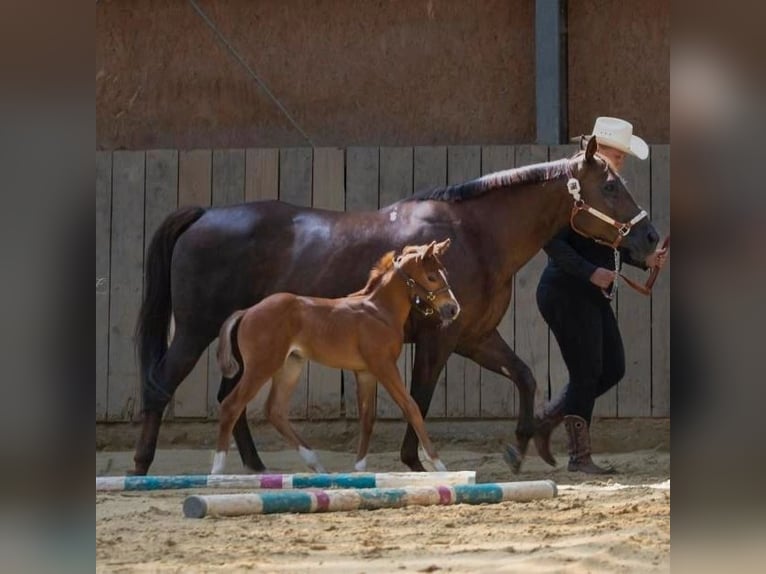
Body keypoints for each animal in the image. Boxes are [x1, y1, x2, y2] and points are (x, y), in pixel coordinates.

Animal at [213, 241, 460, 474]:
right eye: (431, 277)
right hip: (262, 365)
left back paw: (317, 466)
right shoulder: (384, 365)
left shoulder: (365, 372)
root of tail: (246, 311)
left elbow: (367, 418)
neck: (379, 311)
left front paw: (359, 469)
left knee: (275, 410)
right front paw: (438, 464)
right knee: (231, 406)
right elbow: (411, 407)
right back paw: (217, 472)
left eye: (445, 272)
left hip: (290, 365)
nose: (453, 309)